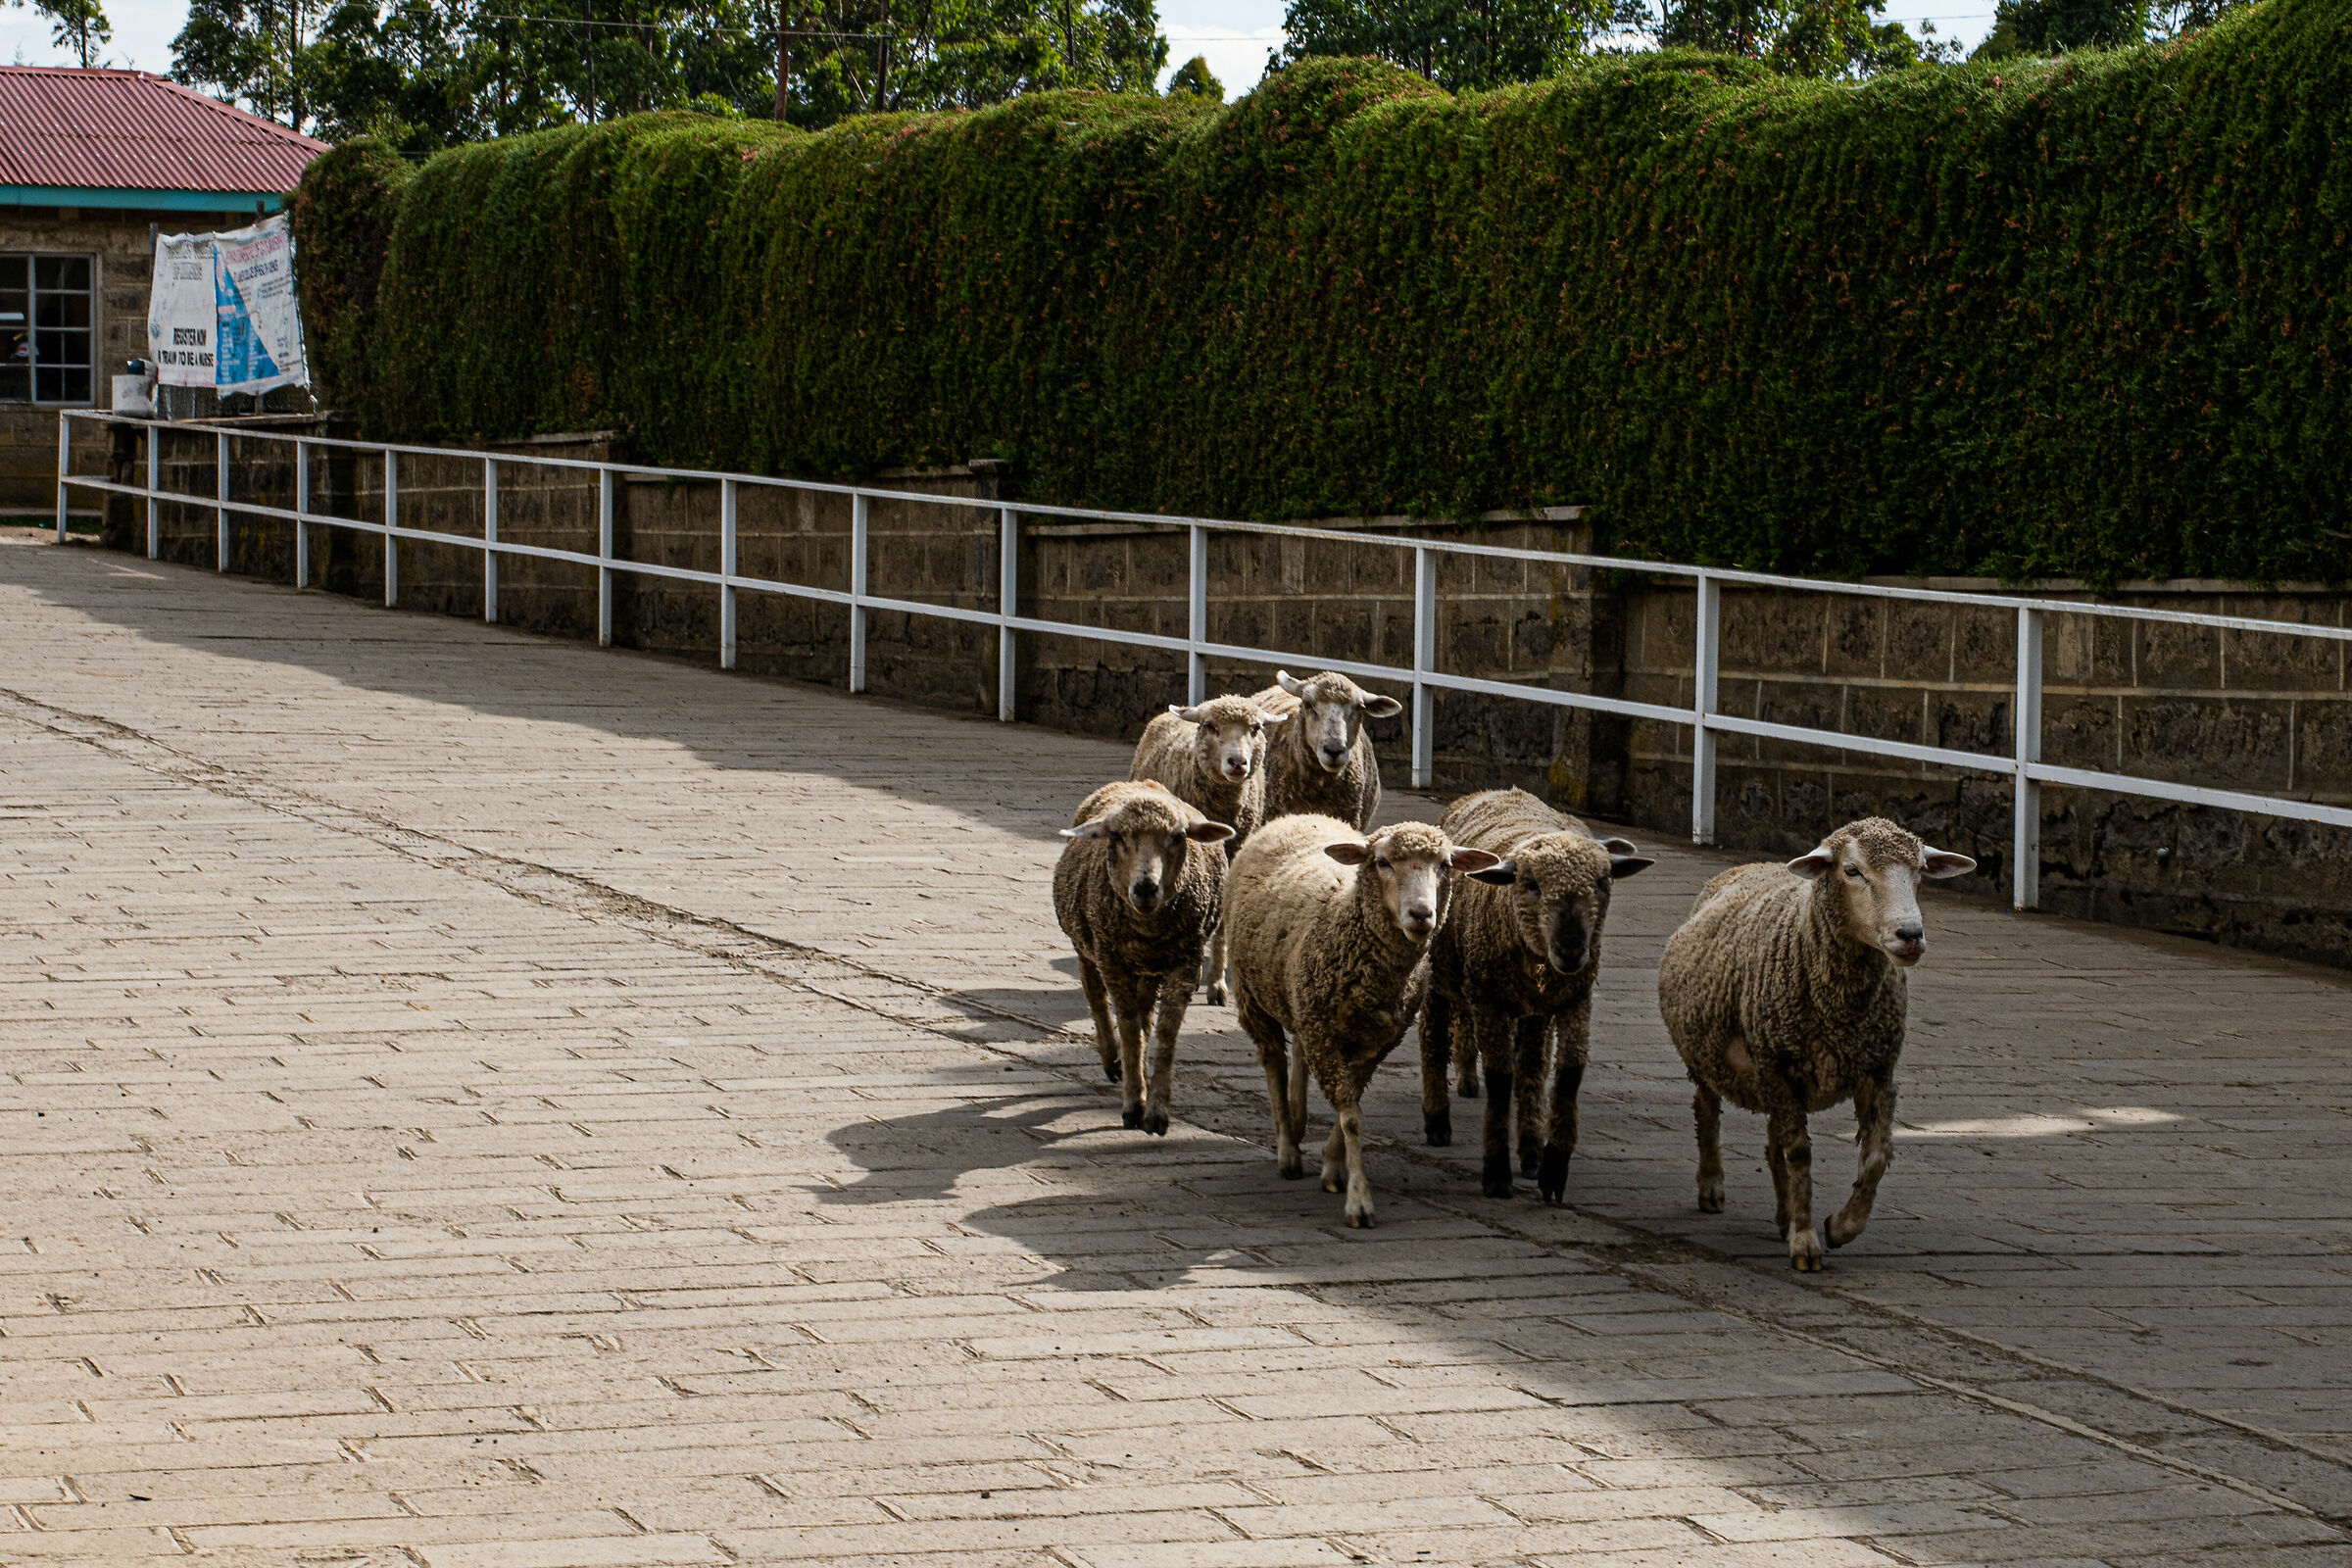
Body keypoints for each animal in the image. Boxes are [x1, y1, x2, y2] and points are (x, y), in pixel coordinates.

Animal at [1052, 780, 1235, 1135]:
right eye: (1117, 836)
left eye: (1178, 837)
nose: (1146, 887)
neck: (1148, 929)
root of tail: (1138, 784)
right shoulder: (1112, 961)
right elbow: (1126, 1025)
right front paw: (1133, 1104)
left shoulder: (1186, 963)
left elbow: (1165, 1032)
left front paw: (1156, 1110)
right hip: (1088, 946)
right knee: (1097, 999)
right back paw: (1112, 1060)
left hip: (1148, 970)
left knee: (1145, 1015)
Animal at [1224, 811, 1499, 1227]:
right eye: (1382, 862)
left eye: (1445, 865)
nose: (1422, 915)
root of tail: (1299, 816)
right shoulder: (1325, 1035)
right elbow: (1351, 1116)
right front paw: (1359, 1200)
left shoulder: (1375, 1042)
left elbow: (1349, 1107)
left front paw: (1334, 1168)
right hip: (1252, 996)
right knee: (1273, 1061)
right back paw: (1288, 1146)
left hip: (1304, 1004)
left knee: (1299, 1051)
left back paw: (1299, 1120)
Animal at [1417, 789, 1654, 1203]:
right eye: (1530, 883)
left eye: (1603, 880)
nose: (1571, 949)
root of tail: (1489, 792)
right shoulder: (1488, 999)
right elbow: (1499, 1079)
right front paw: (1497, 1173)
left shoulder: (1574, 999)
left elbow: (1565, 1074)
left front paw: (1551, 1166)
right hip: (1441, 975)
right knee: (1432, 1037)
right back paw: (1438, 1120)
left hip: (1532, 1011)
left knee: (1530, 1065)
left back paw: (1528, 1149)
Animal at [1655, 817, 1975, 1270]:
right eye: (1852, 870)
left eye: (1918, 873)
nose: (1911, 935)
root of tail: (1752, 864)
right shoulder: (1778, 1067)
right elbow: (1800, 1155)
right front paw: (1806, 1243)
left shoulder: (1877, 1071)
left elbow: (1876, 1157)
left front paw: (1839, 1227)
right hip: (1714, 1058)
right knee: (1707, 1110)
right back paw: (1712, 1186)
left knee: (1773, 1145)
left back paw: (1784, 1216)